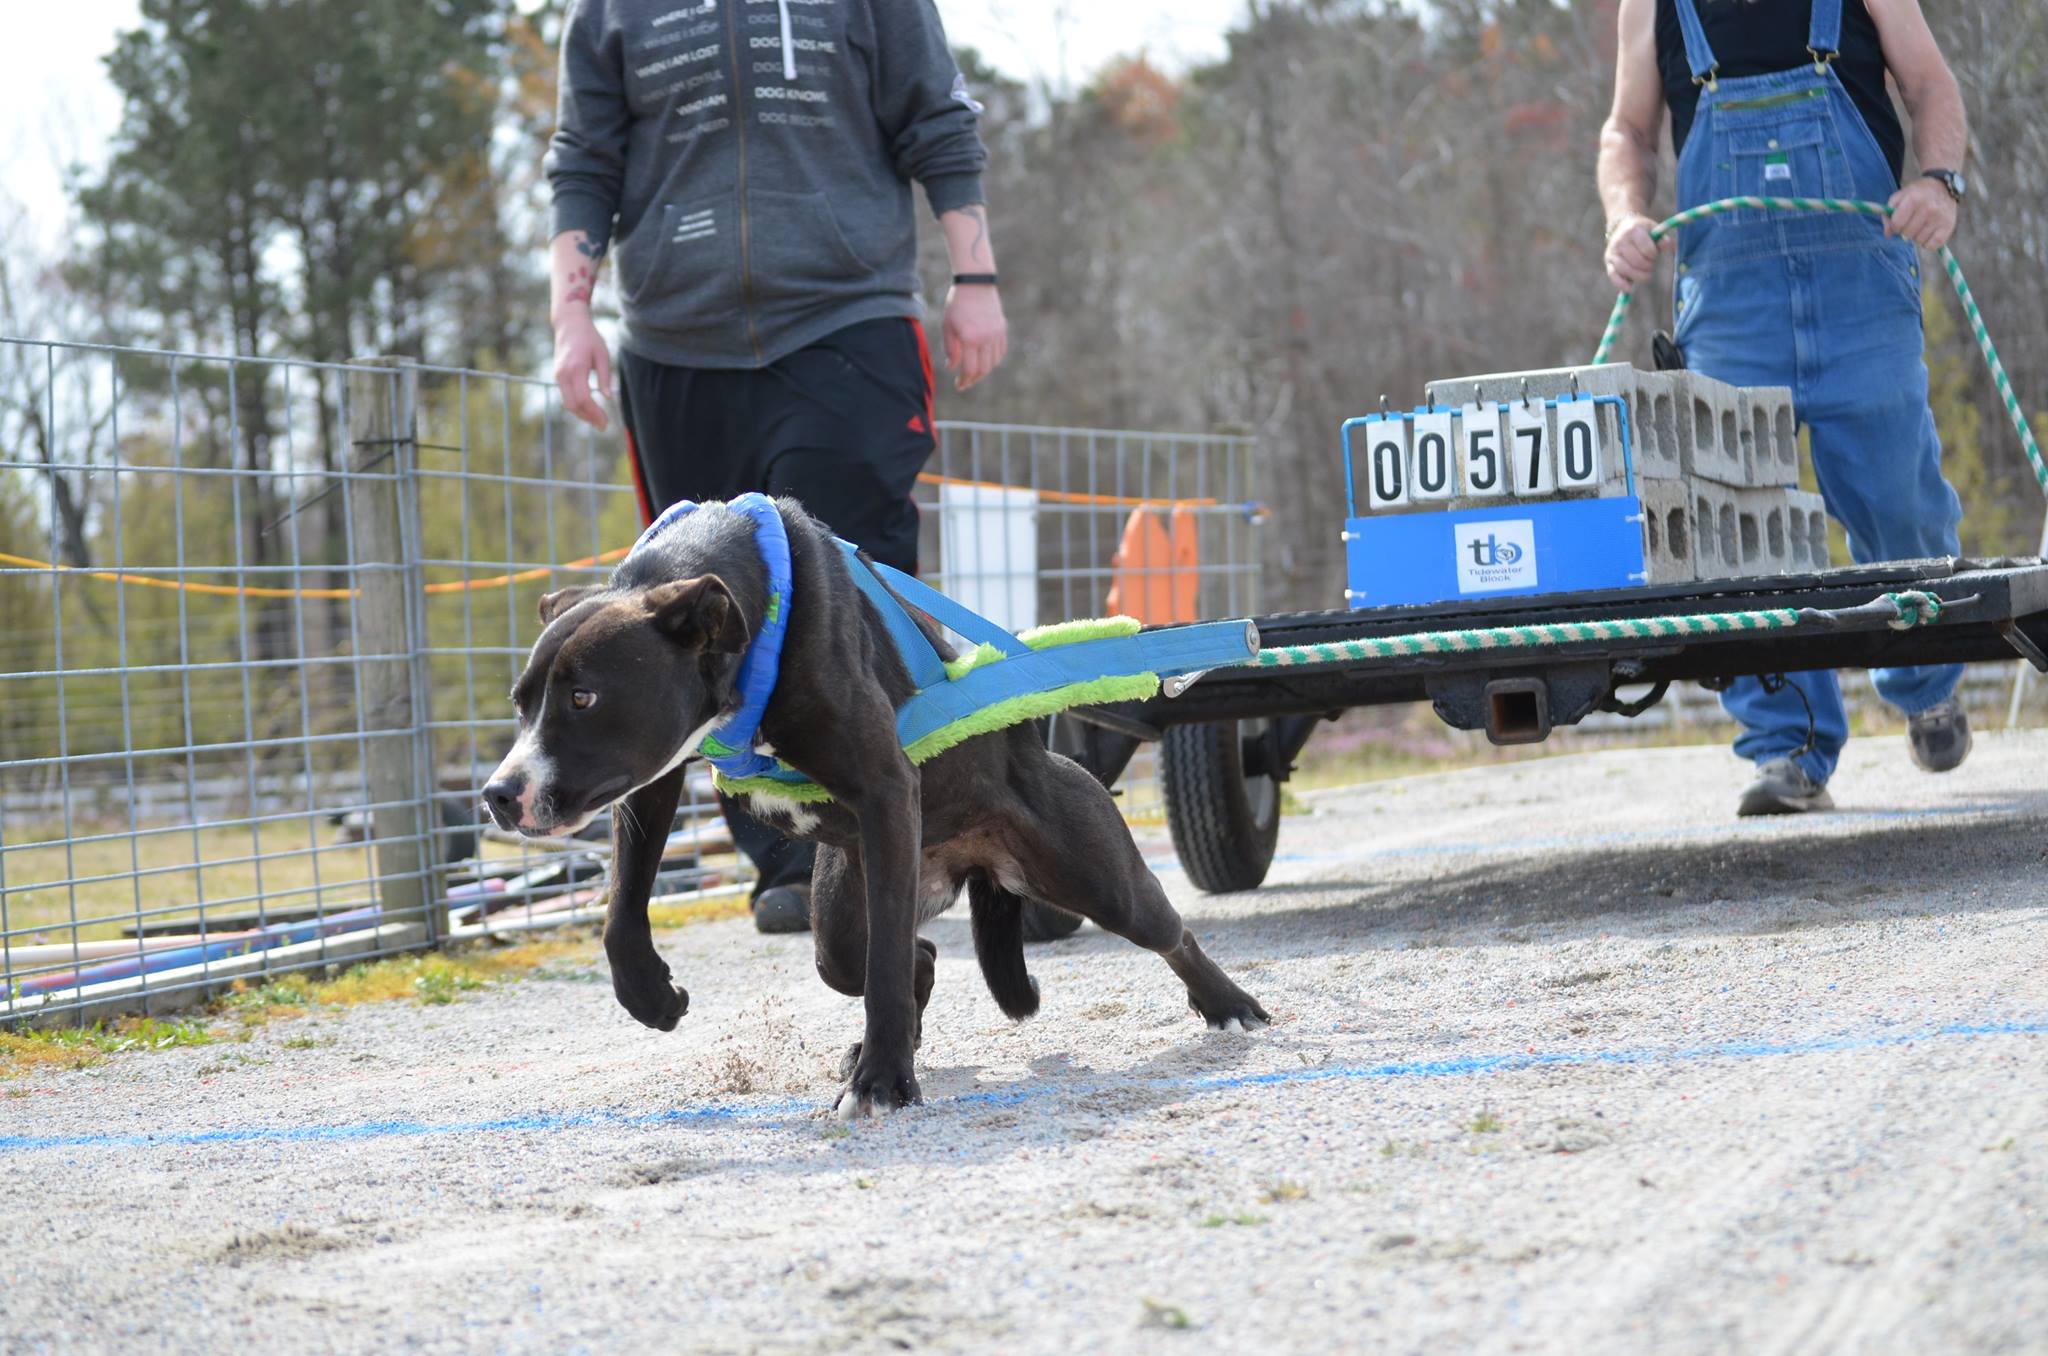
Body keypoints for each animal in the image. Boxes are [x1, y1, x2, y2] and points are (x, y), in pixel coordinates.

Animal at [487, 499, 1269, 1114]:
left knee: (1167, 930)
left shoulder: (886, 791)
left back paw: (1229, 1005)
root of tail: (972, 860)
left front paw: (884, 1082)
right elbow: (623, 905)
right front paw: (649, 993)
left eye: (584, 697)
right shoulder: (653, 774)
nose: (497, 794)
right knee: (891, 957)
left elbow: (887, 966)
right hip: (838, 906)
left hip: (1089, 871)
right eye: (521, 703)